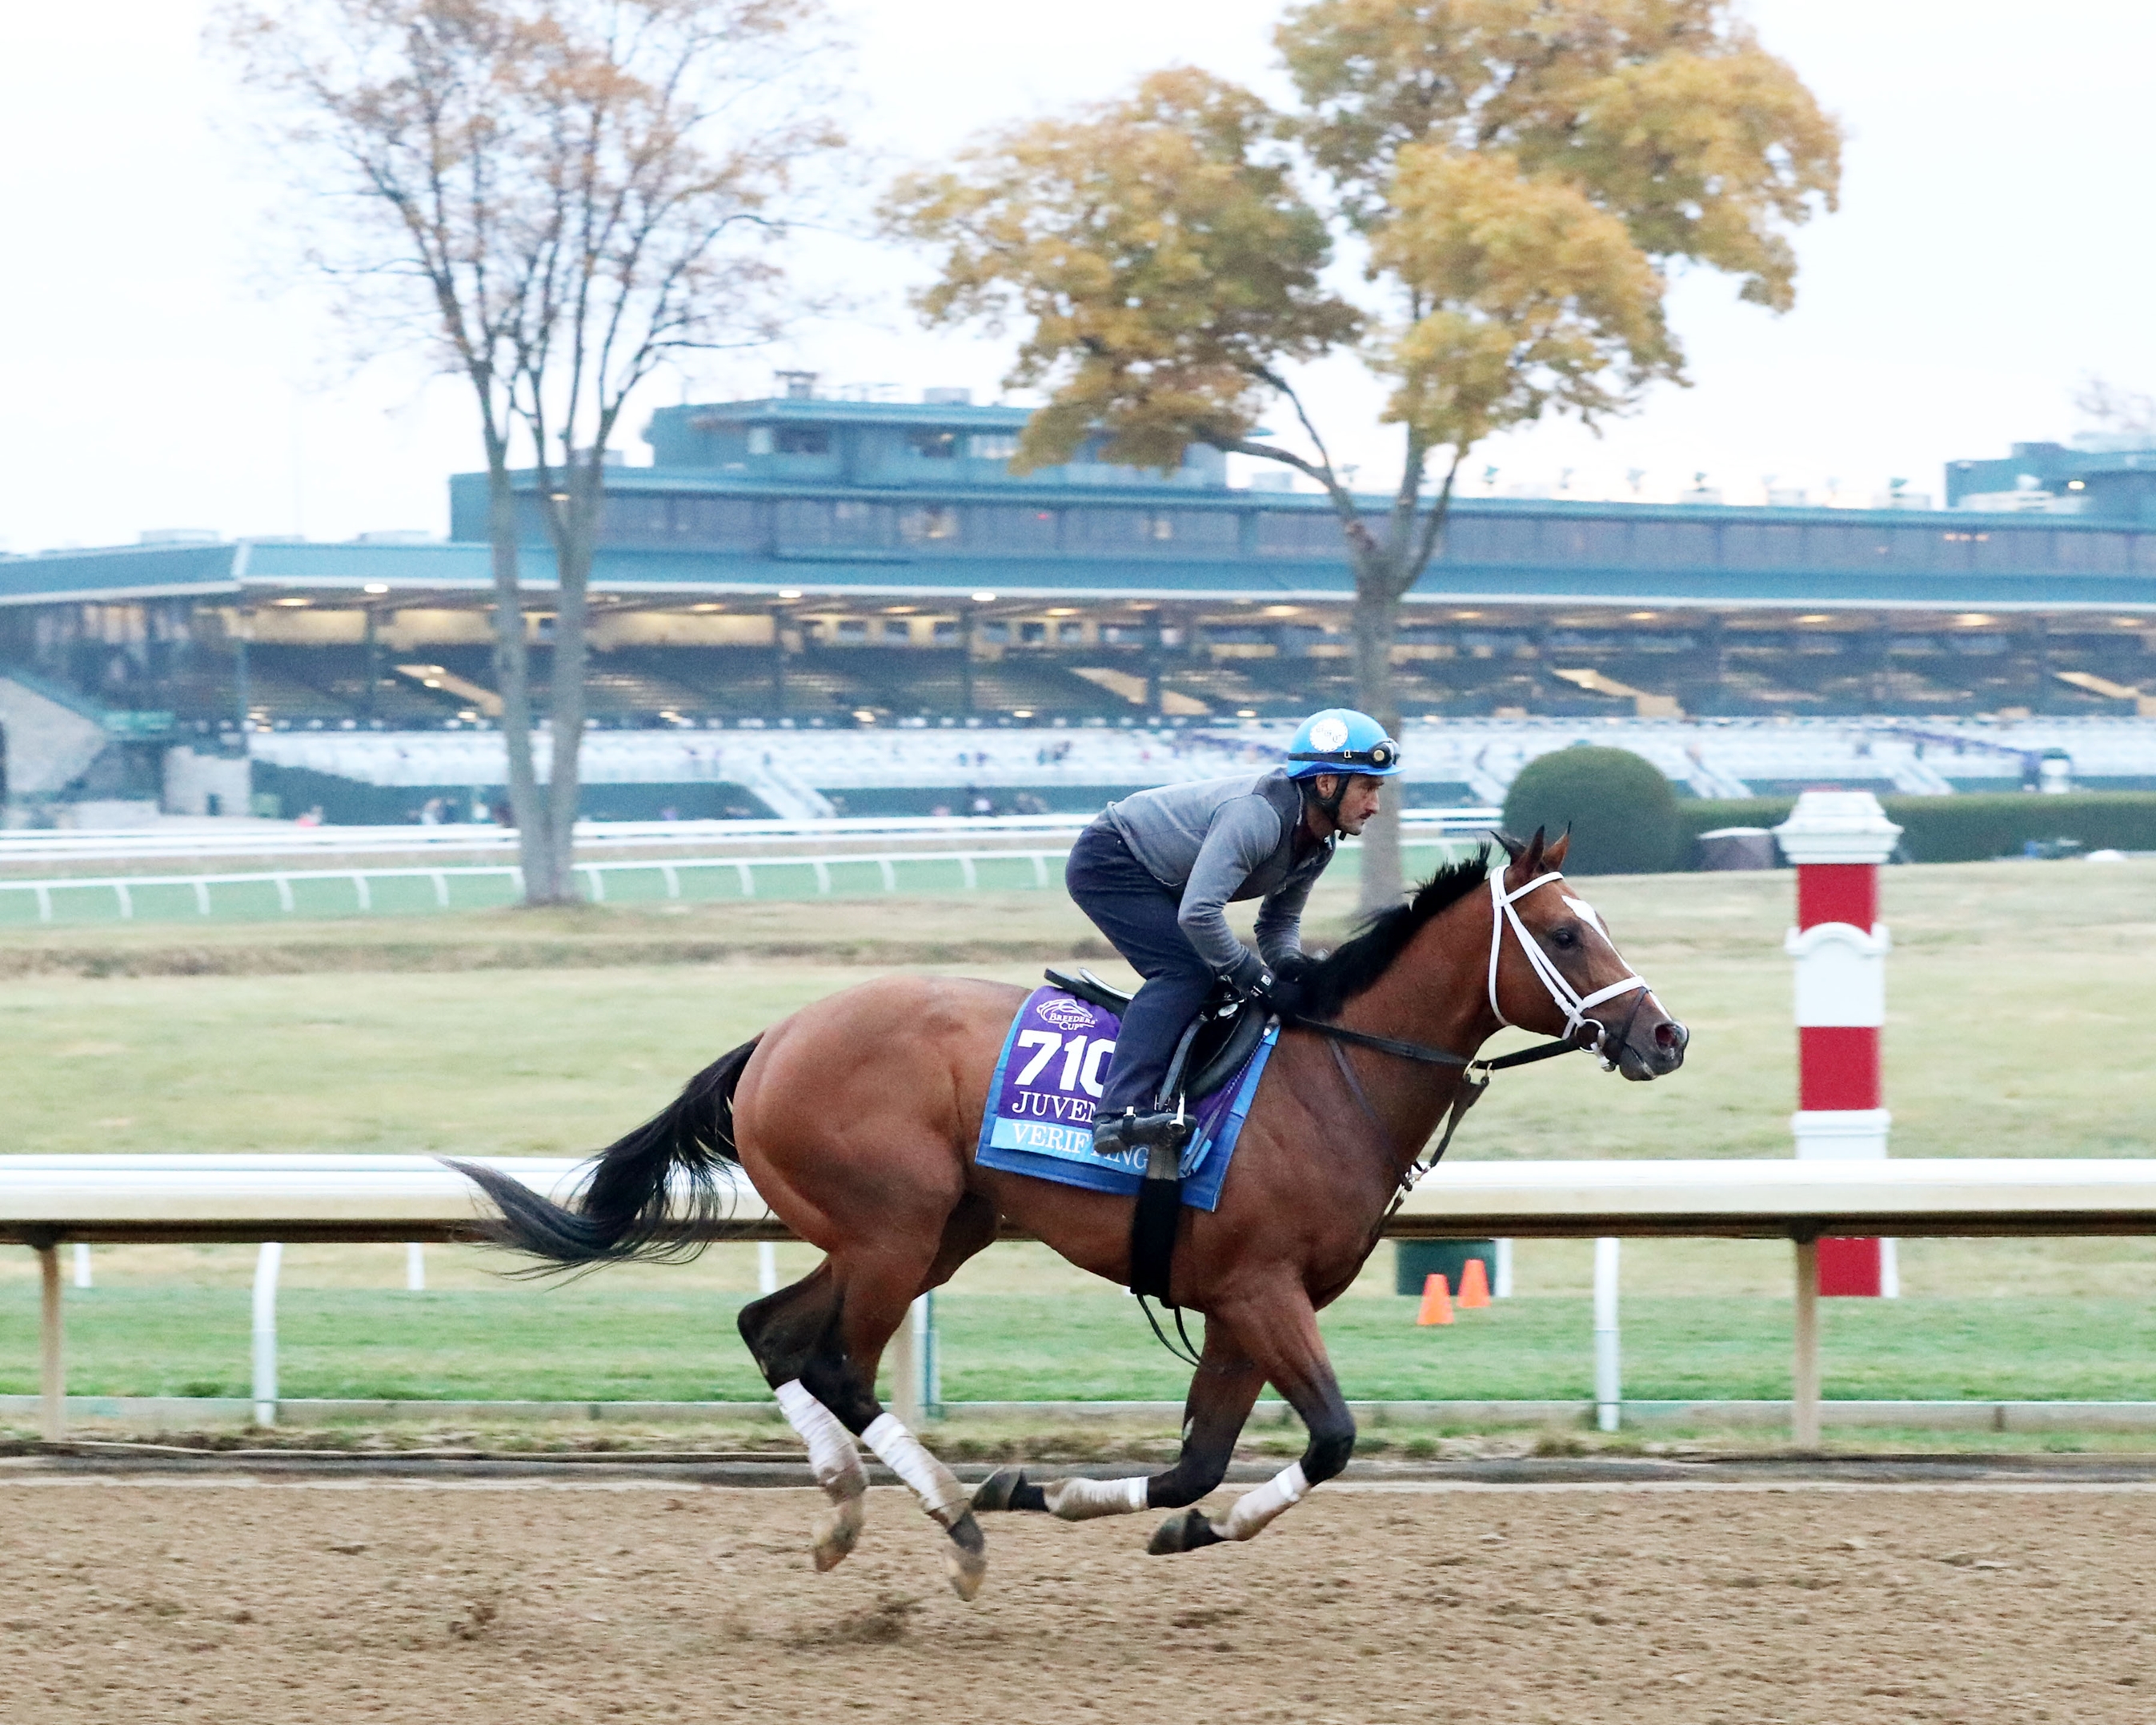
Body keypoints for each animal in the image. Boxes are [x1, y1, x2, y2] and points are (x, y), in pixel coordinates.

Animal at [455, 828, 1681, 1595]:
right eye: (1565, 934)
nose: (1664, 1035)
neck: (1329, 1078)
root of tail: (776, 1037)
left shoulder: (1234, 1306)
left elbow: (1198, 1464)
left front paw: (1124, 1507)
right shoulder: (1261, 1290)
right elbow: (1332, 1437)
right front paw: (1042, 1497)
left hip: (926, 1230)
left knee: (774, 1334)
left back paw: (848, 1506)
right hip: (893, 1230)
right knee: (838, 1363)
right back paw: (951, 1523)